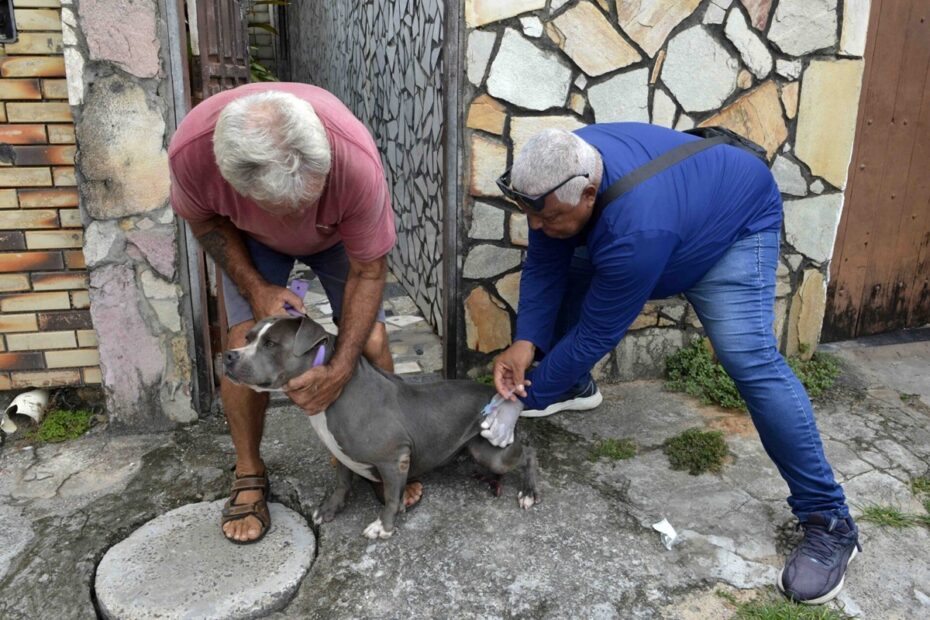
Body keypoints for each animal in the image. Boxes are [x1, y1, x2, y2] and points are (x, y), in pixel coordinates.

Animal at [223, 314, 536, 536]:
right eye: (248, 337)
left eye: (270, 344)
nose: (227, 355)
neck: (335, 393)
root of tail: (497, 395)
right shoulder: (340, 453)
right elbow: (342, 483)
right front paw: (329, 509)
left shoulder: (394, 458)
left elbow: (391, 498)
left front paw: (383, 527)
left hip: (493, 451)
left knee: (528, 455)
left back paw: (528, 493)